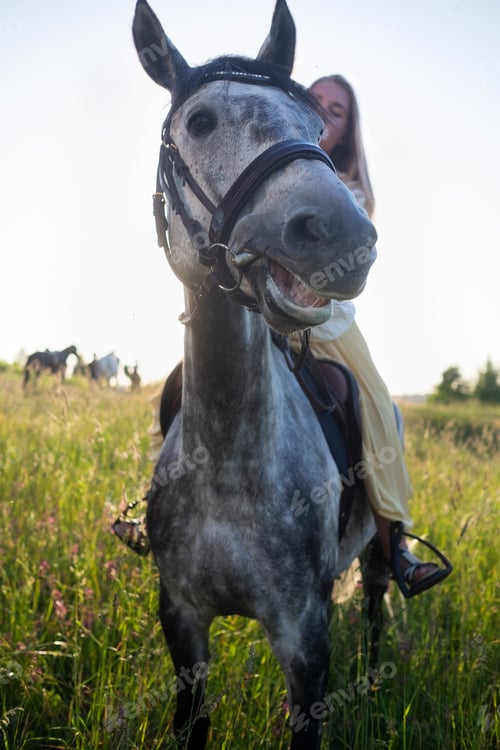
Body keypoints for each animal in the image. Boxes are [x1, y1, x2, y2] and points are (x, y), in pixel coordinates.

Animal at [132, 1, 379, 747]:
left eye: (316, 128)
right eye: (200, 122)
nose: (342, 234)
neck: (230, 465)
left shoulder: (304, 638)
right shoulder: (181, 620)